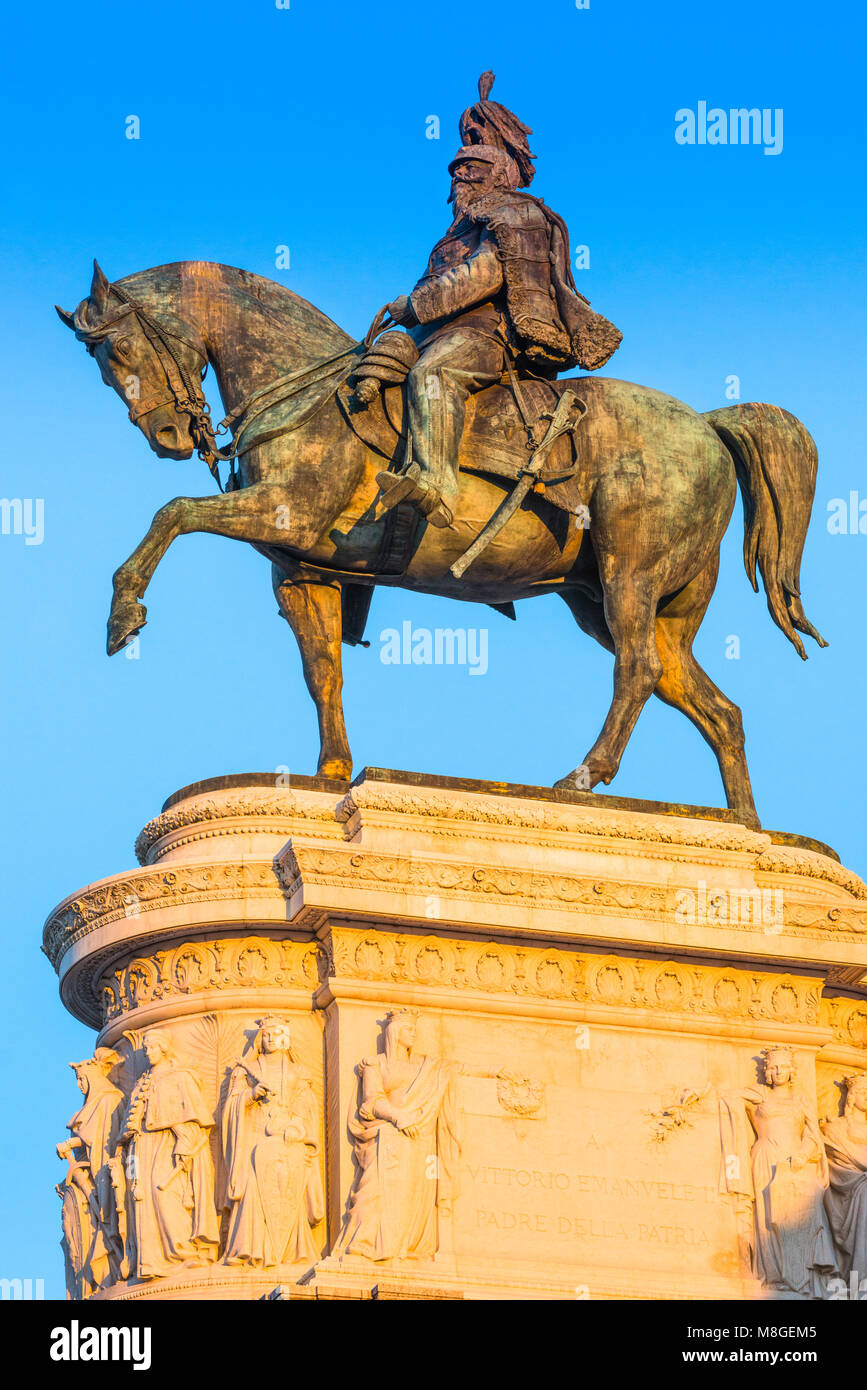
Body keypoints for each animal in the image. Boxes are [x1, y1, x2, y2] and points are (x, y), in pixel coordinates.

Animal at [54, 261, 828, 822]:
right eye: (100, 361)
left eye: (118, 347)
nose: (166, 437)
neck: (305, 395)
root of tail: (707, 424)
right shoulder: (304, 572)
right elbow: (322, 671)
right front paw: (331, 774)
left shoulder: (285, 515)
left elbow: (174, 512)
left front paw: (124, 613)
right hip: (619, 603)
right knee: (712, 707)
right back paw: (746, 826)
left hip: (628, 575)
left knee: (637, 670)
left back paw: (582, 778)